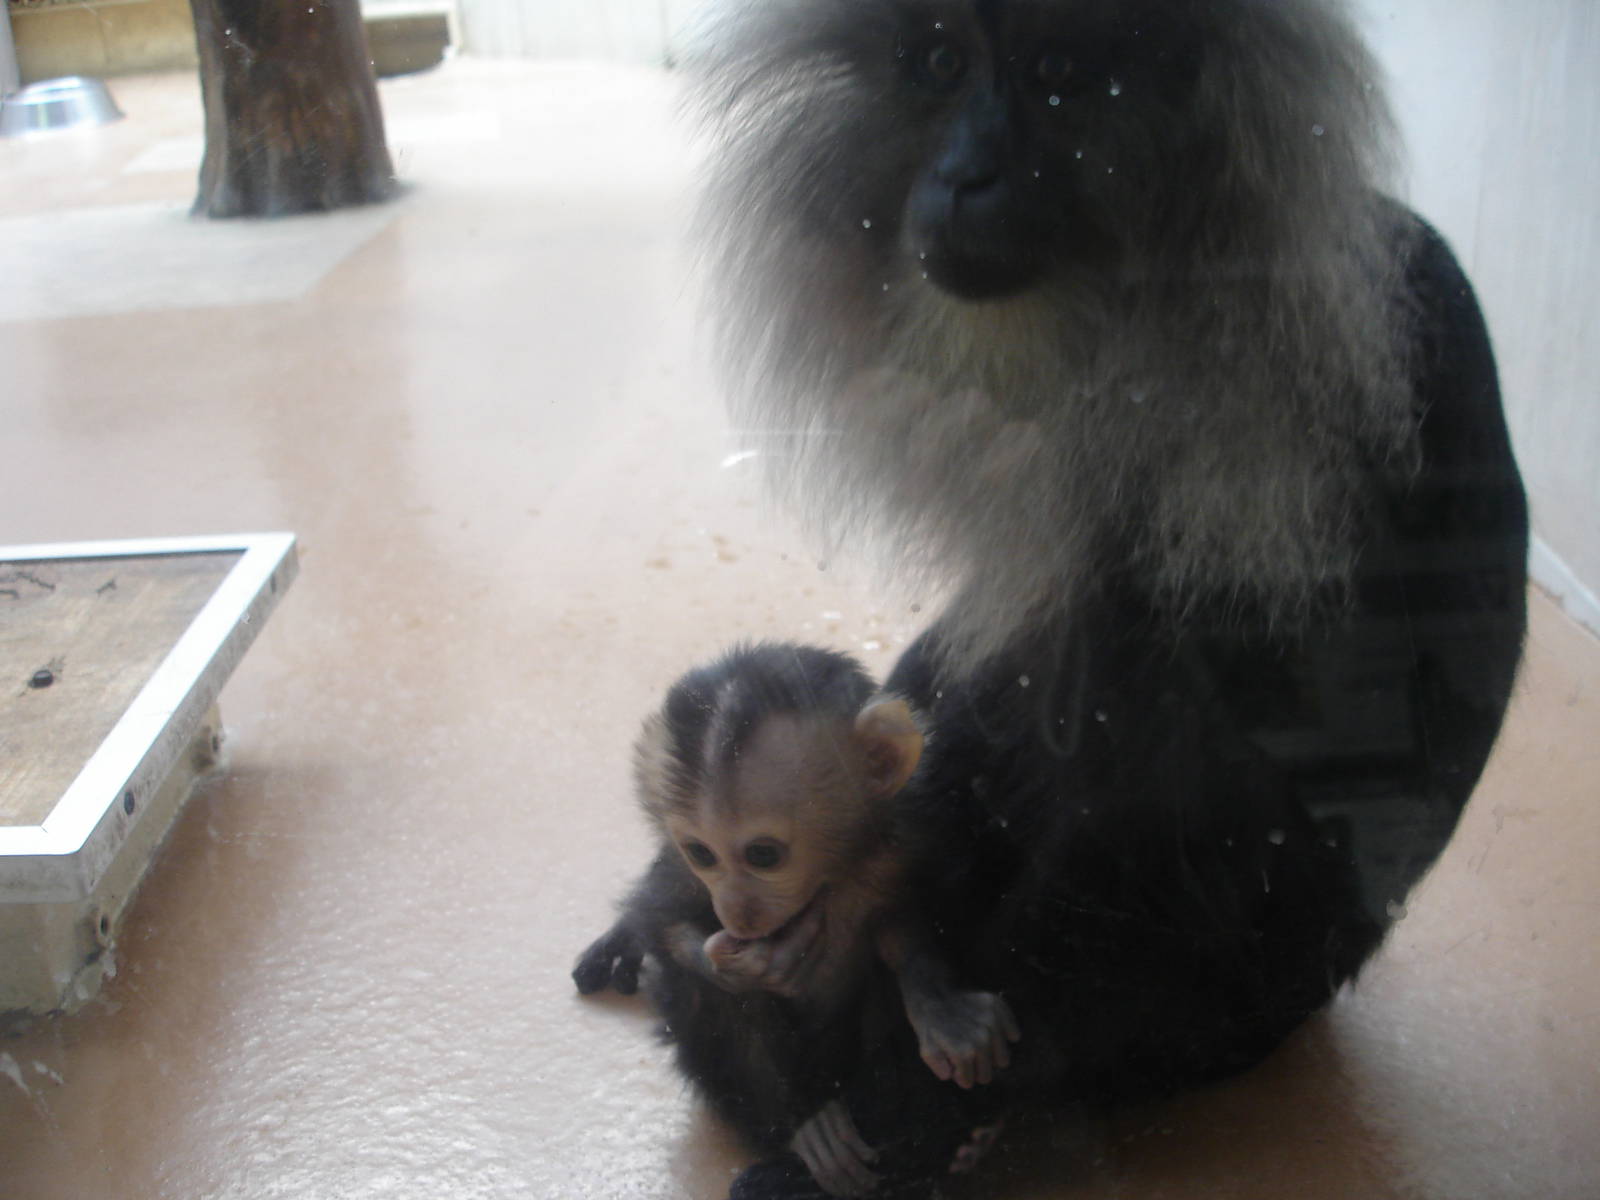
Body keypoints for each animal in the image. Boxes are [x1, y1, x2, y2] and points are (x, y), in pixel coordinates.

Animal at [574, 642, 1022, 1197]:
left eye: (763, 855)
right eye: (702, 853)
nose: (736, 911)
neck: (830, 875)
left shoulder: (907, 835)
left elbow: (905, 926)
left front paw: (939, 1006)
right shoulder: (680, 870)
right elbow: (659, 923)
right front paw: (740, 965)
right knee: (701, 994)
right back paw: (810, 1126)